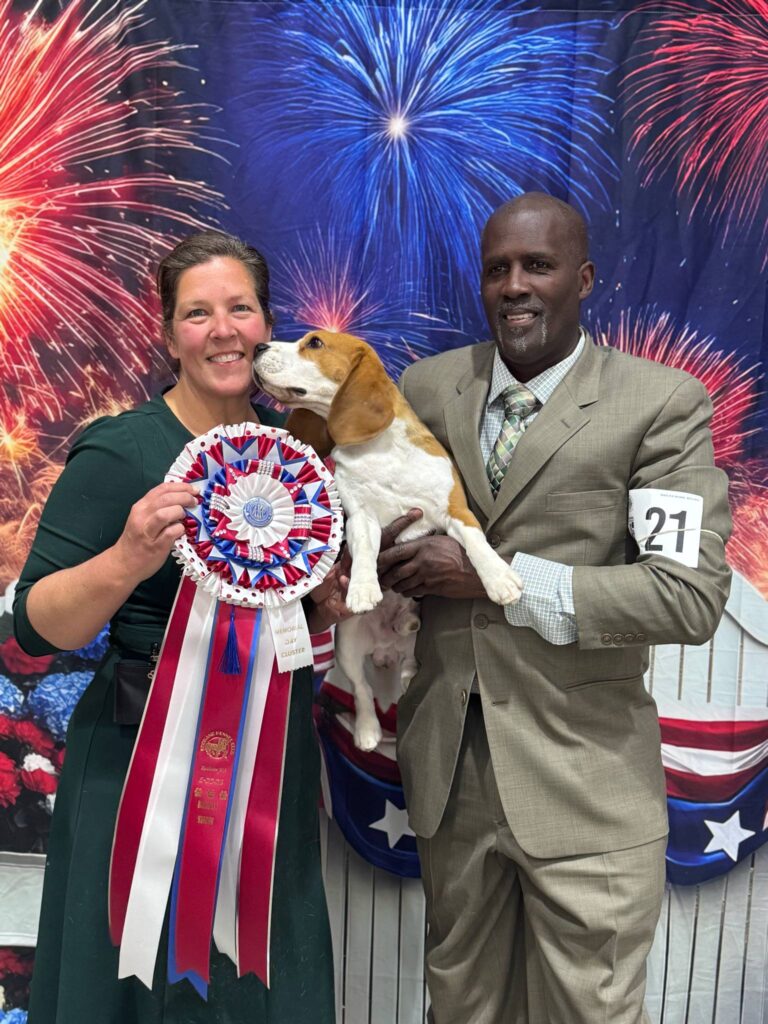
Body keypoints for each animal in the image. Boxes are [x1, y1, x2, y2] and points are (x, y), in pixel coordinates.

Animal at [253, 330, 522, 750]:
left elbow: (476, 543)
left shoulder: (455, 509)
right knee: (362, 691)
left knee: (410, 663)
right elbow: (365, 551)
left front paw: (499, 579)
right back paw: (366, 729)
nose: (258, 348)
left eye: (314, 343)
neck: (379, 451)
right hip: (348, 644)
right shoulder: (362, 517)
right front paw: (363, 588)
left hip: (413, 642)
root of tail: (387, 650)